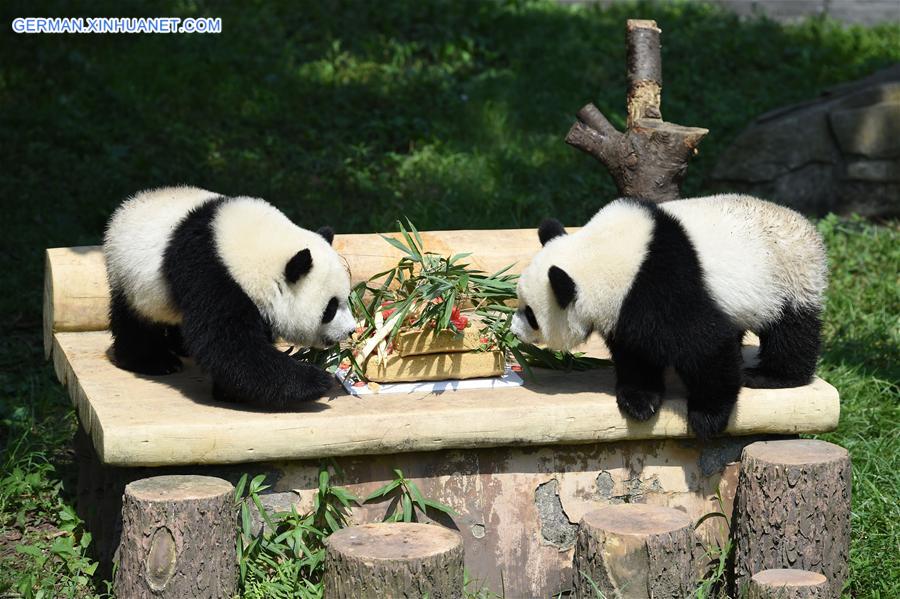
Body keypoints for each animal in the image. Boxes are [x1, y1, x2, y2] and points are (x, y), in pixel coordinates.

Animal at [105, 188, 356, 410]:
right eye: (330, 308)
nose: (351, 330)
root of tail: (127, 206)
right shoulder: (211, 271)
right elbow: (230, 346)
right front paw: (316, 379)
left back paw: (181, 347)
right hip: (130, 277)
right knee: (135, 322)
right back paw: (154, 361)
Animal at [512, 195, 828, 438]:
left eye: (531, 314)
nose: (514, 331)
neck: (598, 255)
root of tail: (810, 230)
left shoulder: (661, 285)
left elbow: (705, 345)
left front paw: (707, 417)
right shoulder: (627, 308)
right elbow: (636, 352)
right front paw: (640, 402)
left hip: (789, 279)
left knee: (791, 332)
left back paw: (771, 375)